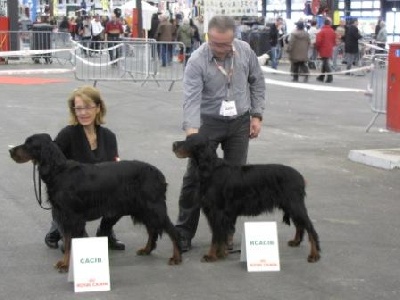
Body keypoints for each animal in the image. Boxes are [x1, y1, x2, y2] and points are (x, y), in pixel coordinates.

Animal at [9, 134, 181, 272]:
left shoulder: (72, 217)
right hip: (142, 208)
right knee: (152, 229)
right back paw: (146, 249)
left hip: (153, 207)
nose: (11, 152)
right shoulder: (64, 216)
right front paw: (65, 262)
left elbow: (69, 243)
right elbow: (67, 240)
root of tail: (159, 174)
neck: (58, 171)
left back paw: (176, 257)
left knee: (172, 231)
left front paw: (65, 265)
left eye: (29, 144)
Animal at [173, 134, 320, 262]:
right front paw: (222, 253)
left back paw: (314, 255)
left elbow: (216, 236)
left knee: (310, 227)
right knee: (300, 225)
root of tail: (300, 176)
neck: (211, 169)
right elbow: (221, 235)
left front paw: (211, 255)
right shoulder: (217, 213)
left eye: (190, 141)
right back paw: (296, 241)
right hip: (290, 204)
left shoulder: (217, 211)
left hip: (294, 204)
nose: (173, 144)